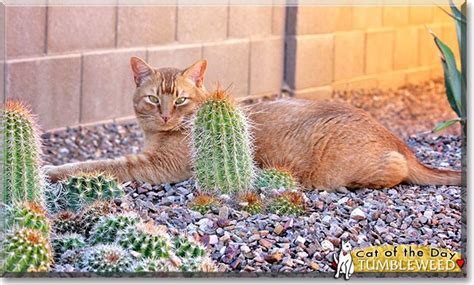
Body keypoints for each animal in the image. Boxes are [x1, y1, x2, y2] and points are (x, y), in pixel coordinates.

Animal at [43, 56, 460, 190]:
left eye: (180, 100)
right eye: (153, 99)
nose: (165, 114)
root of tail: (398, 140)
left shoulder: (153, 168)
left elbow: (95, 164)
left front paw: (50, 170)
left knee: (395, 169)